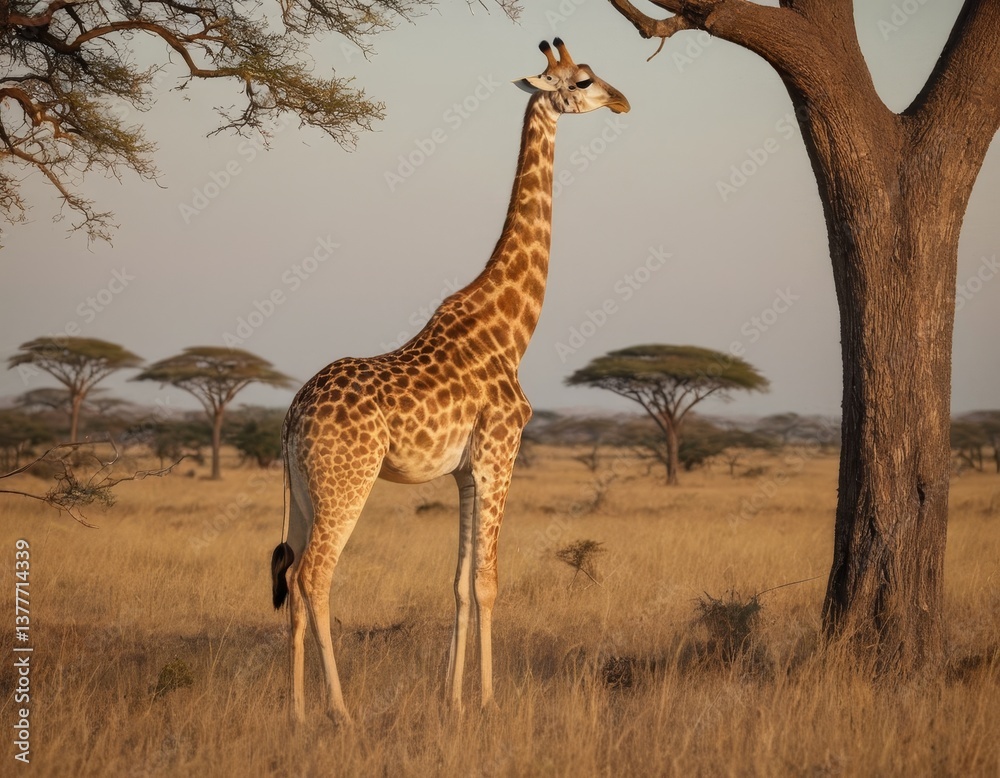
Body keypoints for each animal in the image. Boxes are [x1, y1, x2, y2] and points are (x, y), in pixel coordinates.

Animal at [271, 38, 630, 725]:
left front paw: (452, 697)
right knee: (313, 577)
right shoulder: (499, 455)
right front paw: (488, 699)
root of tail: (294, 414)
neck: (512, 327)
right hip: (346, 481)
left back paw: (297, 711)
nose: (623, 101)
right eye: (583, 79)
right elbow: (488, 582)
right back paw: (340, 712)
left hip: (303, 488)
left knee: (293, 574)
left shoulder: (466, 471)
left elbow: (459, 583)